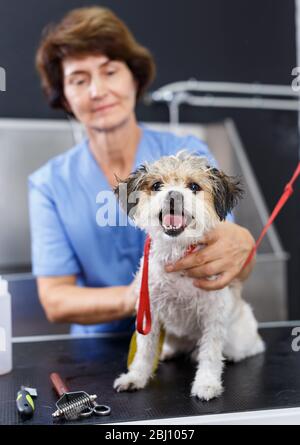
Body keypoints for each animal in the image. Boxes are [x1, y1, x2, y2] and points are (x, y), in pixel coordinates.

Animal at [112, 150, 264, 402]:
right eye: (157, 185)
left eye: (194, 186)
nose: (174, 195)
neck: (177, 253)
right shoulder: (149, 312)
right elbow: (144, 350)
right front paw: (136, 376)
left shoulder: (213, 315)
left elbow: (210, 354)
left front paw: (206, 384)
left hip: (239, 336)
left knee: (250, 347)